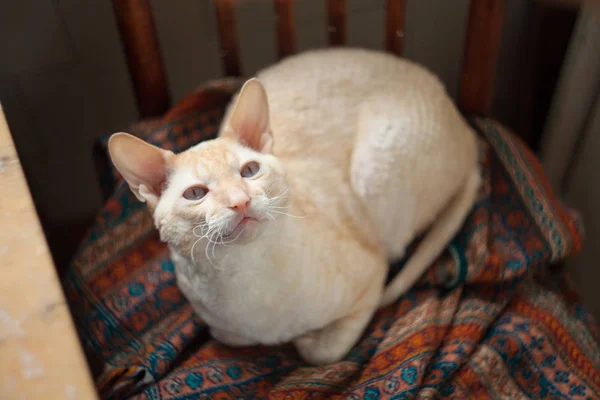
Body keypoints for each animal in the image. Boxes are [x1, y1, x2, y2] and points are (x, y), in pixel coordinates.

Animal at [109, 47, 478, 366]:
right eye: (196, 193)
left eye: (249, 171)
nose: (240, 201)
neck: (248, 282)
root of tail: (466, 125)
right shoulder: (222, 329)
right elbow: (236, 337)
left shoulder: (372, 276)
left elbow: (323, 352)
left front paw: (307, 340)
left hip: (375, 170)